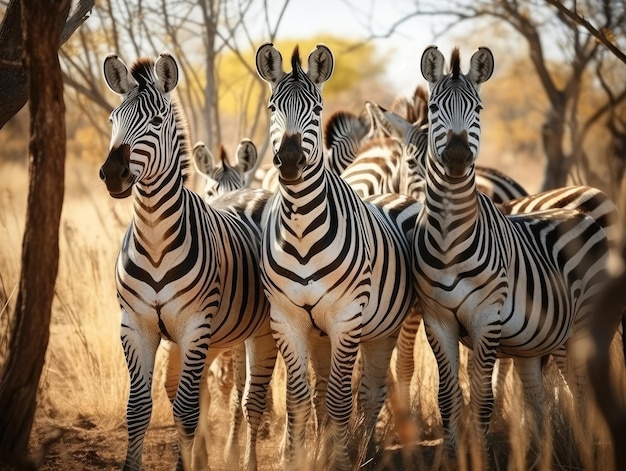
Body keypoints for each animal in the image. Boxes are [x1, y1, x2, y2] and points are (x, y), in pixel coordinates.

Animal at [100, 52, 276, 471]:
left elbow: (186, 411)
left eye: (156, 122)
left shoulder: (194, 326)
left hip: (260, 330)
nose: (112, 174)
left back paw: (247, 459)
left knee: (252, 400)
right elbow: (139, 410)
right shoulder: (136, 326)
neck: (155, 241)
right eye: (113, 120)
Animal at [254, 42, 420, 470]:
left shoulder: (346, 319)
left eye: (316, 109)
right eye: (272, 108)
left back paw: (368, 451)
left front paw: (342, 461)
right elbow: (300, 400)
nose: (290, 161)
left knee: (374, 389)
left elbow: (342, 400)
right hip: (323, 334)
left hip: (389, 326)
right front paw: (298, 459)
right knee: (327, 392)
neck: (300, 229)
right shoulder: (287, 320)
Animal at [412, 46, 608, 462]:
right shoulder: (437, 319)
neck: (449, 236)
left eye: (478, 108)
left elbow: (483, 399)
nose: (457, 156)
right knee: (542, 397)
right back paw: (545, 456)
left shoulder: (487, 318)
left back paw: (587, 450)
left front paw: (482, 459)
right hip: (541, 340)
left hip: (587, 324)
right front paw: (453, 458)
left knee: (583, 390)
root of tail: (581, 213)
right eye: (434, 108)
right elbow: (448, 397)